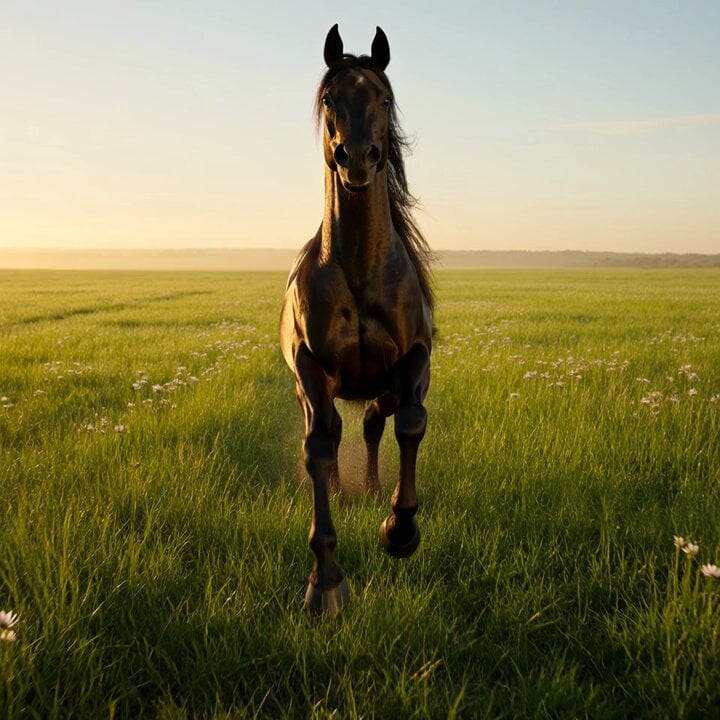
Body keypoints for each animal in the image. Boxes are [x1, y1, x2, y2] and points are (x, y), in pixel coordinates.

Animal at [279, 24, 434, 615]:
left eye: (383, 99)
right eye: (330, 99)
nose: (357, 160)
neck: (361, 271)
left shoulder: (416, 359)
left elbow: (411, 425)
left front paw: (399, 530)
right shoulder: (310, 369)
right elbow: (319, 451)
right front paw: (325, 582)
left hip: (383, 385)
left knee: (374, 422)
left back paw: (370, 491)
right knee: (340, 429)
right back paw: (352, 493)